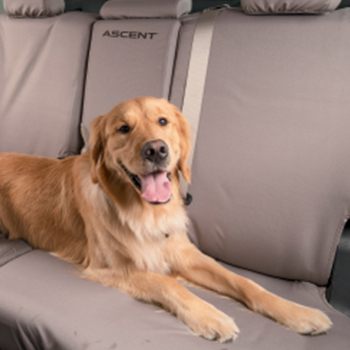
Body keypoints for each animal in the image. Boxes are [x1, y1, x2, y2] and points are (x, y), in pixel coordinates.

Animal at [0, 96, 332, 342]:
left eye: (163, 121)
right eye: (123, 128)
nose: (156, 149)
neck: (145, 211)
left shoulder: (184, 253)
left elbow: (244, 282)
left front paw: (299, 312)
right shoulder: (107, 268)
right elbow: (168, 284)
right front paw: (211, 315)